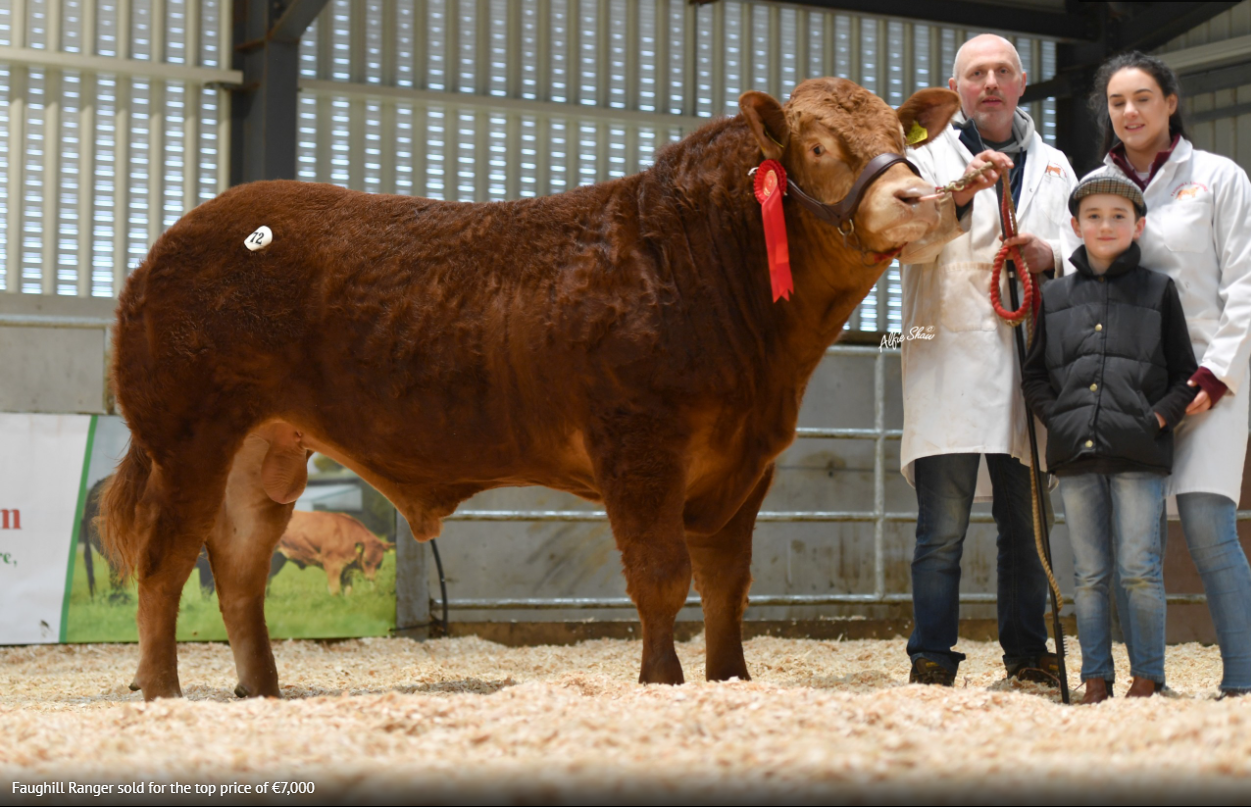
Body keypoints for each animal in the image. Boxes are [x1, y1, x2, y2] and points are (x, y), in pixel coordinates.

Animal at [99, 79, 964, 700]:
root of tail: (170, 246)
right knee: (166, 560)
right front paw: (661, 681)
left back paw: (261, 688)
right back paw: (165, 688)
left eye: (901, 143)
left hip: (266, 453)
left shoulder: (747, 464)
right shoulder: (638, 446)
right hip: (186, 439)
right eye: (816, 144)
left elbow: (727, 583)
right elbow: (661, 575)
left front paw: (729, 679)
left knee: (240, 566)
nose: (917, 199)